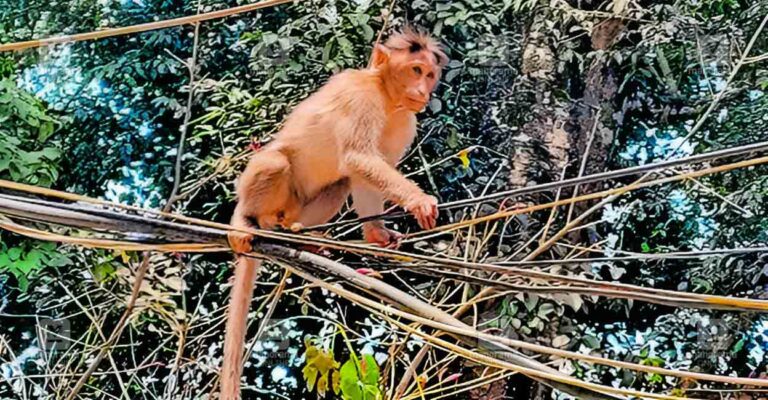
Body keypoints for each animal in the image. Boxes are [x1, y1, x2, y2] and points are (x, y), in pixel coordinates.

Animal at [220, 27, 448, 399]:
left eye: (429, 74)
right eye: (416, 70)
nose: (423, 89)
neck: (386, 95)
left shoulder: (405, 119)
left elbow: (363, 172)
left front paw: (377, 234)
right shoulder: (361, 96)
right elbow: (358, 157)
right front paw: (418, 201)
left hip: (296, 206)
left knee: (339, 183)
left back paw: (300, 234)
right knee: (276, 161)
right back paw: (246, 220)